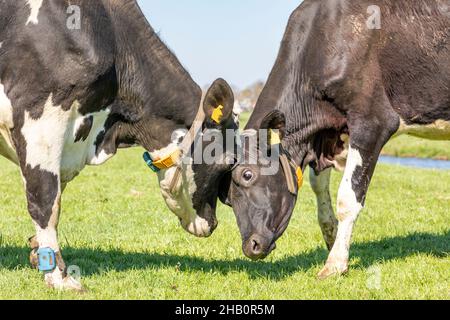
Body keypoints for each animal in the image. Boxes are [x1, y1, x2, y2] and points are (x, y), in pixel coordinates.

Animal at [0, 0, 237, 290]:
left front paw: (37, 250)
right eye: (227, 162)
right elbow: (45, 199)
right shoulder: (40, 117)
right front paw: (58, 275)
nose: (212, 224)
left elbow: (56, 194)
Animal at [221, 0, 450, 278]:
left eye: (247, 175)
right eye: (226, 198)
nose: (251, 246)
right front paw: (333, 243)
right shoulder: (327, 137)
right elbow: (319, 190)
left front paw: (335, 264)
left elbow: (348, 198)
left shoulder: (373, 122)